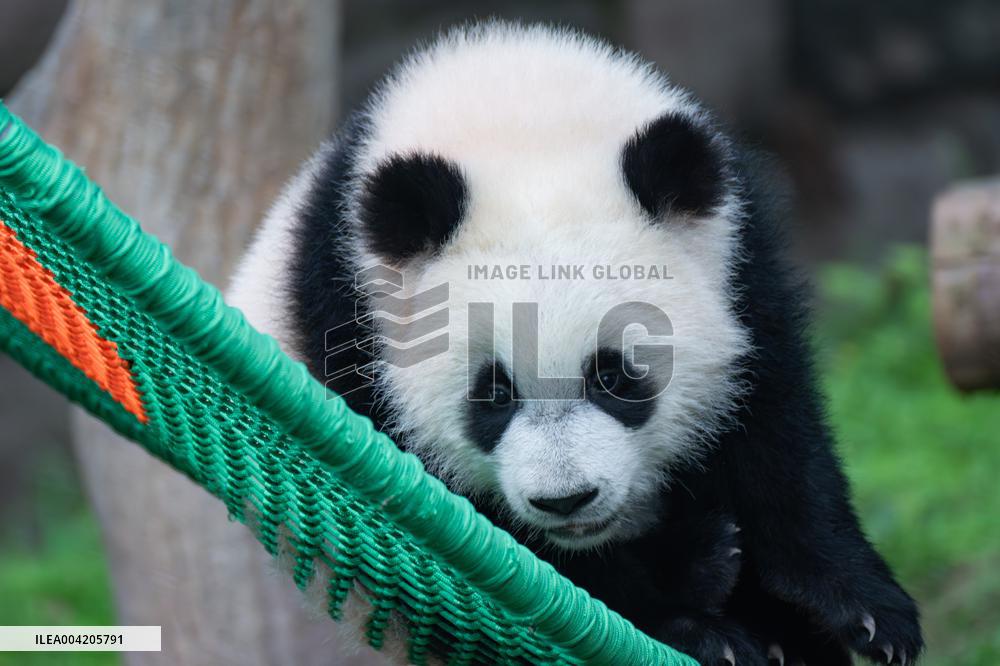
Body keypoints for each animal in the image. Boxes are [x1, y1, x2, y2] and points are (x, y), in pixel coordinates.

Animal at [229, 21, 923, 666]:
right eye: (493, 393)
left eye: (613, 376)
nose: (566, 500)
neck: (517, 118)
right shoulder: (350, 328)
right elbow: (479, 539)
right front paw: (688, 621)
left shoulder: (738, 255)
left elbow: (774, 422)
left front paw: (864, 609)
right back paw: (702, 570)